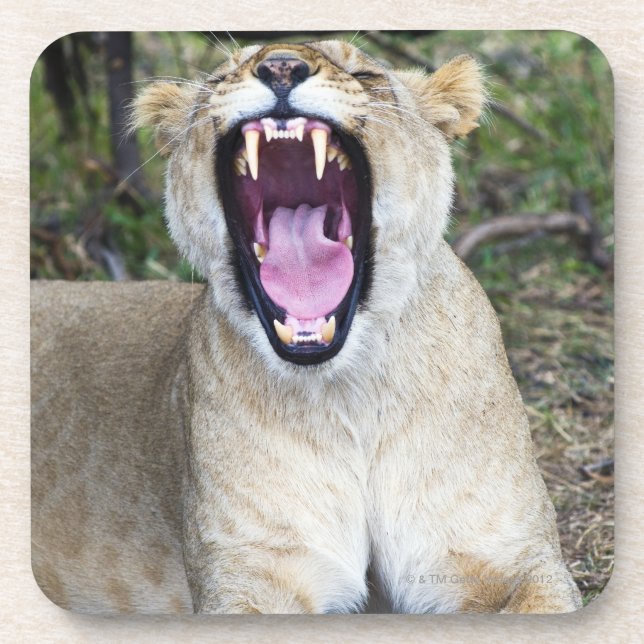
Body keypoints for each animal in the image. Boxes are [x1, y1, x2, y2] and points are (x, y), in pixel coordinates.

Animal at [31, 40, 582, 614]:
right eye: (222, 77)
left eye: (366, 73)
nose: (280, 66)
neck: (349, 393)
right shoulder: (250, 578)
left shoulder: (514, 562)